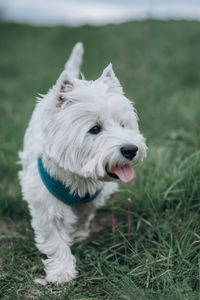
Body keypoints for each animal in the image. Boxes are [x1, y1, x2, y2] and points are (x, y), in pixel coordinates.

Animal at [18, 42, 147, 284]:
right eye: (94, 129)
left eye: (123, 124)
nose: (131, 149)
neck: (78, 177)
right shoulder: (47, 205)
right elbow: (56, 240)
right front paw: (62, 272)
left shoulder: (93, 197)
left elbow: (83, 216)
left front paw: (78, 235)